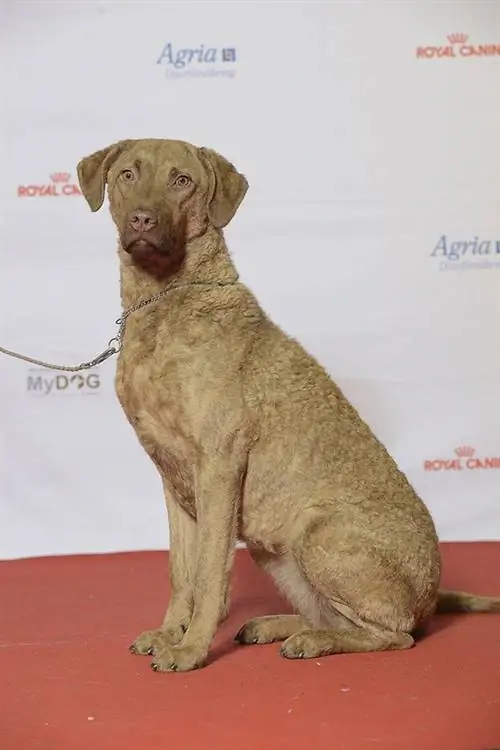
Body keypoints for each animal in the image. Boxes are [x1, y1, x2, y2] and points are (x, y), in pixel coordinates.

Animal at [76, 141, 498, 676]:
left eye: (182, 180)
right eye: (127, 174)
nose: (143, 220)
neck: (165, 299)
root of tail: (430, 596)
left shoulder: (218, 467)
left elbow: (209, 575)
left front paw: (191, 648)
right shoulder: (173, 480)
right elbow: (180, 573)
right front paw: (170, 633)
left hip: (318, 532)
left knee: (393, 634)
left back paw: (313, 641)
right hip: (275, 550)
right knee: (337, 617)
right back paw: (279, 626)